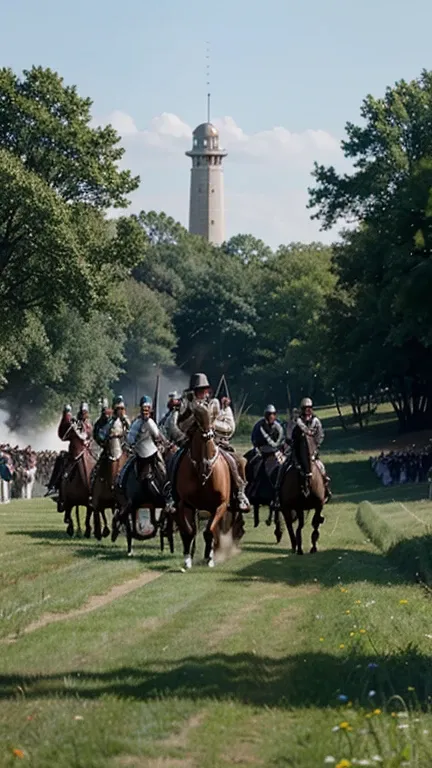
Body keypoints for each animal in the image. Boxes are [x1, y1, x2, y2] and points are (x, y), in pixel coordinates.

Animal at [176, 402, 243, 568]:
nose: (206, 468)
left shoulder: (220, 505)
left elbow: (209, 531)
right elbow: (189, 531)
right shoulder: (185, 504)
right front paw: (187, 559)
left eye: (213, 430)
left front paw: (210, 557)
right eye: (197, 427)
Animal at [276, 424, 324, 556]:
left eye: (313, 442)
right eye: (302, 444)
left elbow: (315, 522)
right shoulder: (298, 507)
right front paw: (299, 548)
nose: (313, 456)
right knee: (289, 525)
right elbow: (299, 527)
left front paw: (313, 547)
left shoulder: (319, 504)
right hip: (286, 508)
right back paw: (294, 546)